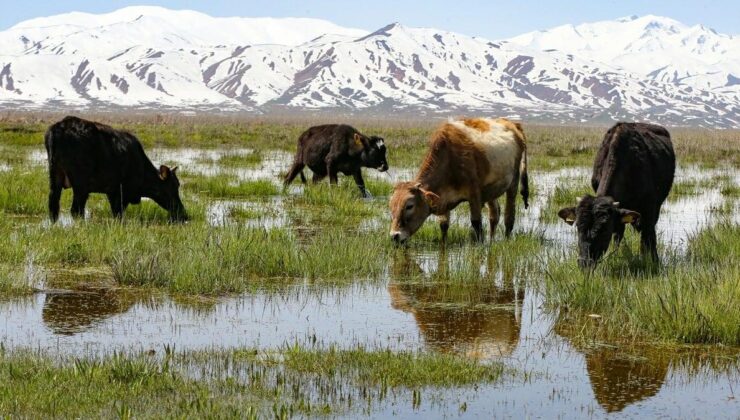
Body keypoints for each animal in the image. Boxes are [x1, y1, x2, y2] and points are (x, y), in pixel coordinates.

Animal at [44, 113, 188, 221]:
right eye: (172, 187)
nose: (183, 215)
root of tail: (58, 127)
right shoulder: (121, 192)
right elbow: (118, 214)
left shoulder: (111, 191)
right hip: (81, 185)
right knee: (76, 210)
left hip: (55, 177)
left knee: (53, 206)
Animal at [390, 117, 528, 243]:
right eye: (391, 206)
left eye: (409, 206)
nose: (394, 236)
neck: (450, 160)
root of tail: (512, 123)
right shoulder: (443, 199)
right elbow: (444, 225)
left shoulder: (474, 194)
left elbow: (476, 223)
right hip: (491, 190)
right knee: (494, 215)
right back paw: (492, 241)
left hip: (513, 182)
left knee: (509, 216)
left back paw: (506, 240)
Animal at [556, 121, 672, 268]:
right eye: (578, 227)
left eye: (605, 230)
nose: (585, 263)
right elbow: (618, 235)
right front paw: (616, 256)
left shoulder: (649, 208)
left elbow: (648, 236)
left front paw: (652, 260)